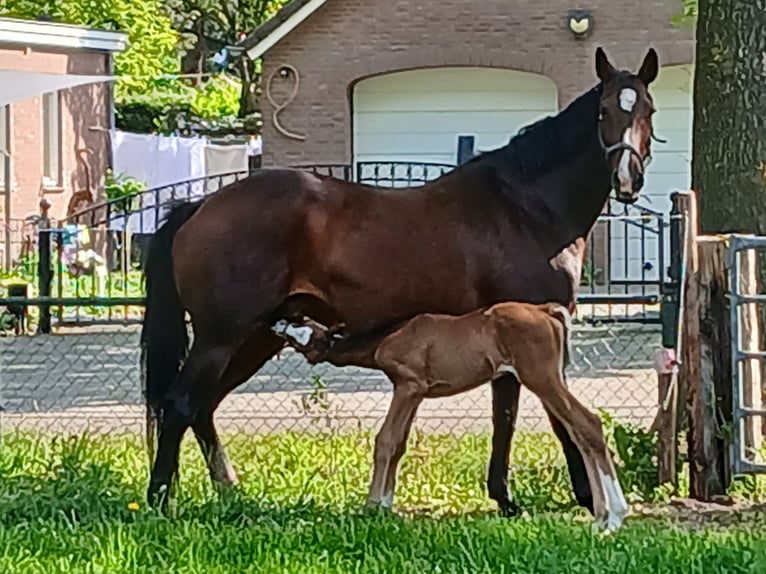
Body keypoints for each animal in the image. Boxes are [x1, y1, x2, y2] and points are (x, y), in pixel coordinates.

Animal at [271, 301, 629, 532]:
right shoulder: (414, 393)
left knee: (588, 424)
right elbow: (399, 445)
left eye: (300, 331)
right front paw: (386, 504)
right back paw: (602, 517)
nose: (277, 321)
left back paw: (614, 517)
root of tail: (546, 311)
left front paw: (372, 507)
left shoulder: (408, 386)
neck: (392, 335)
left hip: (541, 377)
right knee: (579, 432)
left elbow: (385, 441)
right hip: (550, 379)